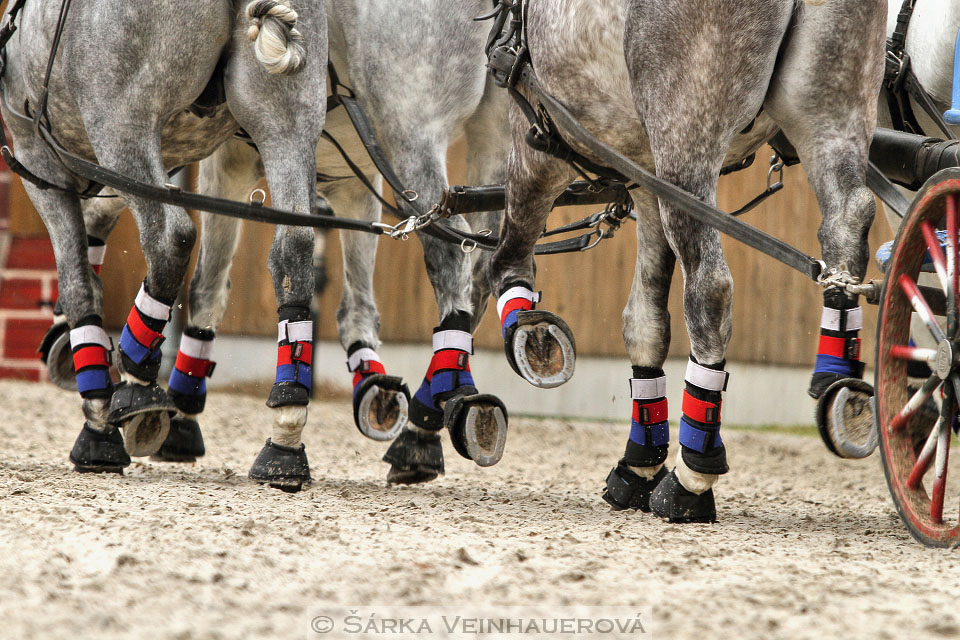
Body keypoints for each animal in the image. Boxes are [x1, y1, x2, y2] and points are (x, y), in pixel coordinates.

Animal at [0, 0, 326, 480]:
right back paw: (284, 438)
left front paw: (99, 421)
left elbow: (80, 285)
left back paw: (136, 379)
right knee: (294, 247)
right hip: (285, 121)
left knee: (170, 238)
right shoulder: (167, 155)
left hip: (122, 126)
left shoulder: (40, 164)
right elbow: (99, 226)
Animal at [488, 0, 884, 520]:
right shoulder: (644, 176)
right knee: (847, 220)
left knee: (711, 288)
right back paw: (841, 386)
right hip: (828, 114)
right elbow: (644, 321)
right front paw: (640, 461)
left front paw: (532, 334)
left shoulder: (538, 143)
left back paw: (693, 475)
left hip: (686, 145)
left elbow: (509, 260)